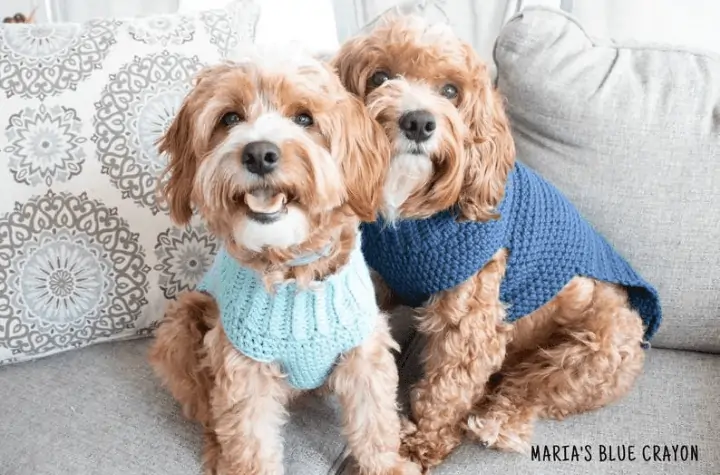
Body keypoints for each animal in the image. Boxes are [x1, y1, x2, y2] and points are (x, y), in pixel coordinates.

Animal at [148, 49, 422, 475]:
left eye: (305, 118)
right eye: (230, 118)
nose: (259, 154)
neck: (294, 269)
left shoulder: (364, 351)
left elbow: (374, 419)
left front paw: (388, 464)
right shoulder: (243, 367)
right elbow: (250, 440)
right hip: (181, 326)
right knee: (208, 413)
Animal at [334, 14, 660, 472]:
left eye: (450, 91)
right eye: (380, 77)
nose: (418, 122)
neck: (413, 212)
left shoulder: (472, 321)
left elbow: (447, 387)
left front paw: (421, 446)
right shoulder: (380, 277)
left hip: (602, 344)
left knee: (532, 389)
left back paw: (497, 421)